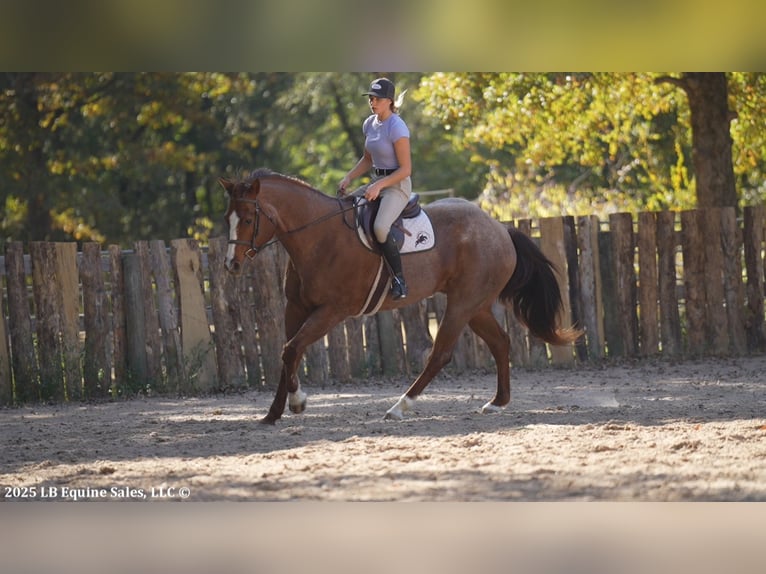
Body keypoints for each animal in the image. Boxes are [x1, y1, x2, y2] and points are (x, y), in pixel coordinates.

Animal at [220, 168, 581, 424]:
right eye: (228, 219)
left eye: (249, 219)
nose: (231, 265)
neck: (318, 236)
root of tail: (498, 228)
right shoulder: (294, 309)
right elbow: (287, 355)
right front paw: (275, 412)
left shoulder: (332, 310)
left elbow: (291, 349)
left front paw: (297, 403)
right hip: (475, 307)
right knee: (501, 343)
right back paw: (497, 403)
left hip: (462, 304)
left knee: (440, 354)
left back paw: (399, 406)